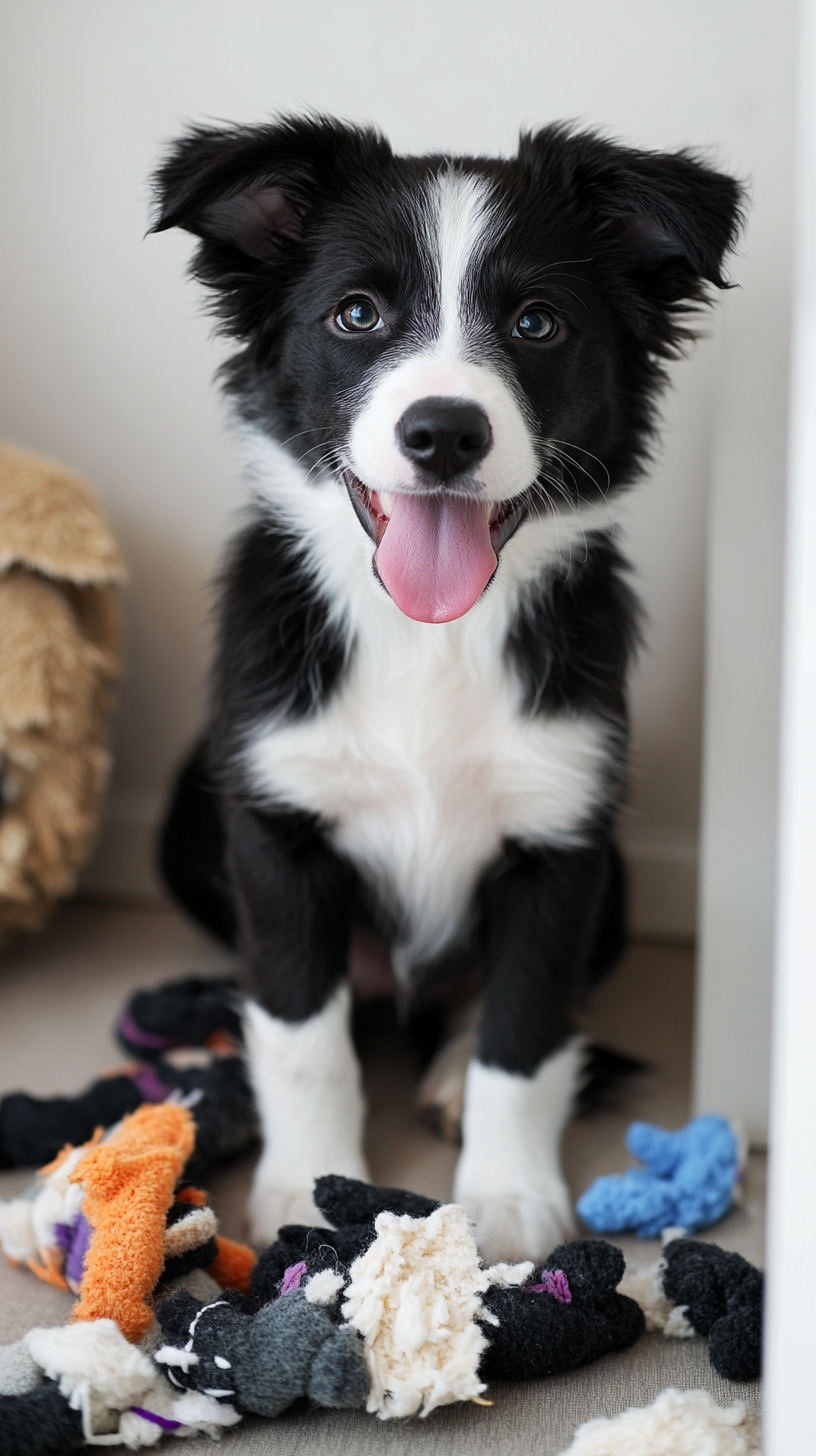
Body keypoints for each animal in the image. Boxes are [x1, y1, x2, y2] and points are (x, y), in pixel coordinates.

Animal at [150, 116, 743, 1263]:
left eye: (537, 322)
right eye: (358, 313)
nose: (444, 433)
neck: (432, 635)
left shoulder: (563, 835)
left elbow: (526, 1025)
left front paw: (507, 1198)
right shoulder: (273, 825)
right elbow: (303, 1029)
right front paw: (307, 1185)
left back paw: (452, 1074)